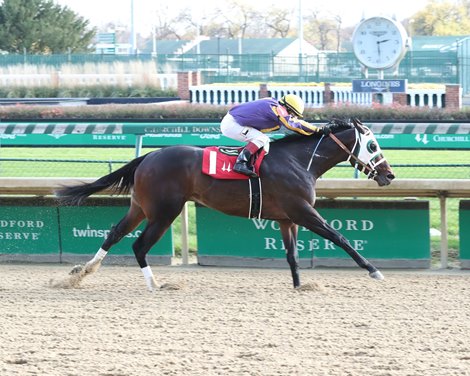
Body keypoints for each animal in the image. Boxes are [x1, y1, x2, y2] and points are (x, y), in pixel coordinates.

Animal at [56, 118, 396, 290]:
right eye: (372, 145)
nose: (389, 175)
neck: (300, 162)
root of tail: (149, 156)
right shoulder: (303, 211)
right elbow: (340, 237)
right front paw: (373, 270)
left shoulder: (287, 218)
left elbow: (292, 255)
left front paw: (300, 285)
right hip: (165, 212)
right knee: (139, 246)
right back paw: (156, 285)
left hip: (140, 207)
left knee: (114, 233)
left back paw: (81, 273)